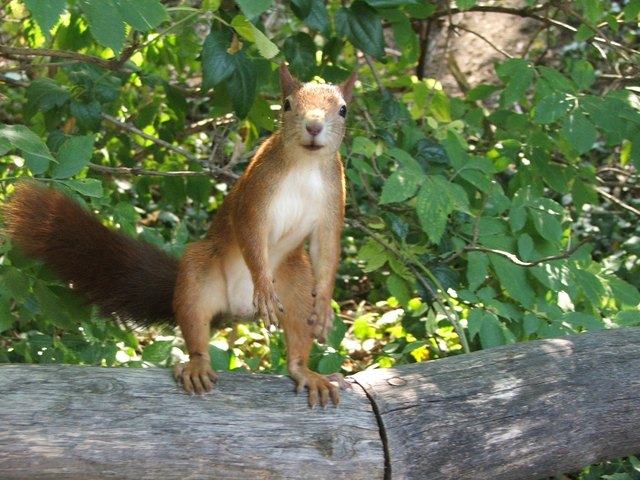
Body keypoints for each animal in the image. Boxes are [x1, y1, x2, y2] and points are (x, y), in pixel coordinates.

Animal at [4, 64, 357, 408]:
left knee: (297, 331)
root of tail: (237, 309)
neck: (305, 165)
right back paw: (199, 364)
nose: (314, 126)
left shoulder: (332, 201)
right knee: (194, 323)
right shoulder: (255, 194)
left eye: (342, 109)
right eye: (286, 104)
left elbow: (328, 249)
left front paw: (325, 307)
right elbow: (251, 236)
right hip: (198, 275)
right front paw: (263, 286)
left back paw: (307, 371)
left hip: (295, 284)